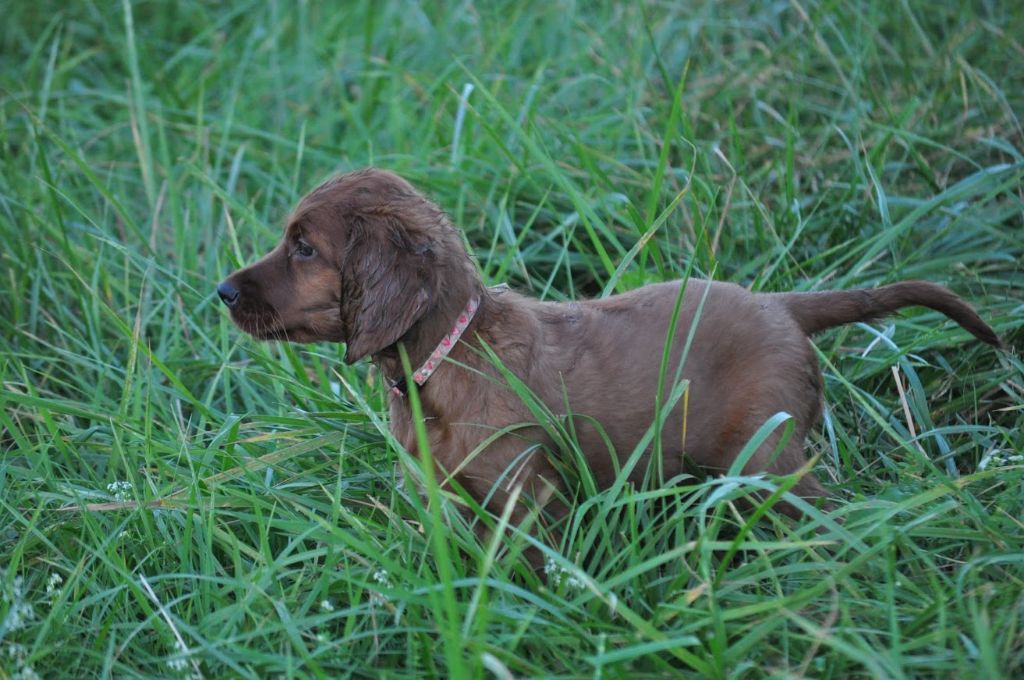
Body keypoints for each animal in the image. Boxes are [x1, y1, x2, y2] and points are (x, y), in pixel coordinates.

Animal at [218, 168, 999, 524]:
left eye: (305, 248)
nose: (221, 291)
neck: (450, 353)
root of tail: (781, 304)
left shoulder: (526, 494)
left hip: (766, 453)